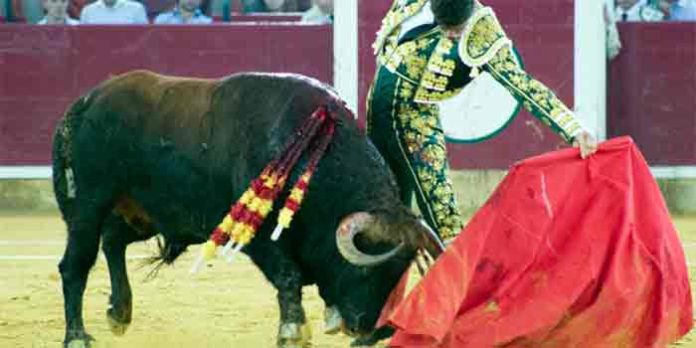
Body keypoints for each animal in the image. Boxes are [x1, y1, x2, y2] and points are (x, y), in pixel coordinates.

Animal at [53, 71, 446, 348]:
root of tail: (84, 103)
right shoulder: (262, 238)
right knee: (76, 264)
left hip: (143, 213)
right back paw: (76, 336)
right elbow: (287, 276)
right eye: (366, 271)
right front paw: (292, 330)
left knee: (113, 241)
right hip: (87, 205)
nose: (373, 330)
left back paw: (119, 312)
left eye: (401, 274)